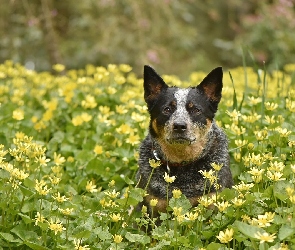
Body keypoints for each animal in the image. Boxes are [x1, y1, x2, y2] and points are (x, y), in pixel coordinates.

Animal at [138, 65, 235, 216]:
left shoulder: (212, 202)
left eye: (196, 109)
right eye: (167, 109)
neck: (182, 162)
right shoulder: (153, 207)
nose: (179, 126)